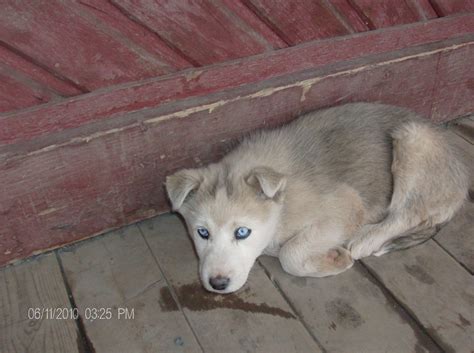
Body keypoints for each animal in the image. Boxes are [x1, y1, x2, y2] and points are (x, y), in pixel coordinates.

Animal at [165, 103, 468, 292]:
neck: (283, 204)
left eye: (242, 232)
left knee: (407, 213)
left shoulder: (347, 205)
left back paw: (365, 239)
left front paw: (335, 258)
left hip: (412, 139)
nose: (217, 284)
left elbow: (290, 253)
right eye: (202, 232)